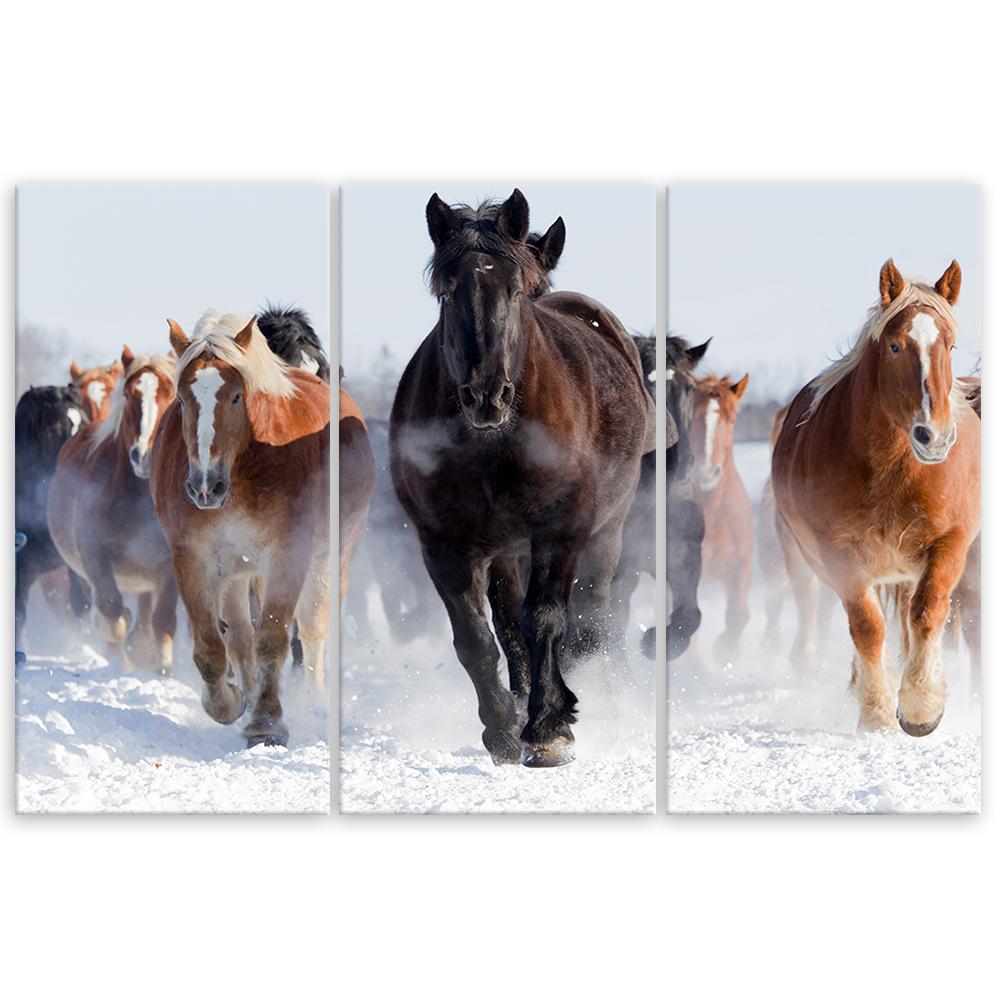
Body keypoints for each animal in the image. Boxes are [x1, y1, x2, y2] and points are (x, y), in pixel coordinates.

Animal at [48, 348, 178, 673]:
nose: (144, 455)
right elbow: (111, 612)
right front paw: (121, 661)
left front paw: (162, 667)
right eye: (130, 394)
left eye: (171, 394)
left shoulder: (171, 563)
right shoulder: (94, 557)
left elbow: (163, 618)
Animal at [152, 311, 330, 747]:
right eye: (182, 398)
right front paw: (230, 703)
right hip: (235, 570)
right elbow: (212, 647)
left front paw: (266, 724)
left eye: (236, 396)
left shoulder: (287, 554)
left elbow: (273, 640)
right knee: (239, 636)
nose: (205, 486)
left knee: (312, 631)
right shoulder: (193, 558)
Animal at [390, 189, 651, 767]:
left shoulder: (560, 530)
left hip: (607, 533)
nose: (487, 394)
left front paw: (549, 727)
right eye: (447, 292)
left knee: (589, 621)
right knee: (511, 626)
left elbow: (547, 620)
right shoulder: (445, 544)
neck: (493, 444)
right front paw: (504, 729)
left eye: (515, 290)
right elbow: (477, 639)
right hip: (506, 550)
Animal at [772, 260, 980, 736]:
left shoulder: (951, 542)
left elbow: (927, 611)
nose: (934, 437)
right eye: (895, 346)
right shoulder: (838, 553)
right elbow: (867, 627)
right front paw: (878, 712)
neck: (892, 471)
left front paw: (921, 706)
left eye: (951, 345)